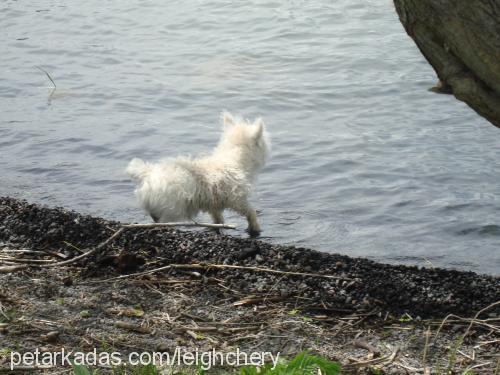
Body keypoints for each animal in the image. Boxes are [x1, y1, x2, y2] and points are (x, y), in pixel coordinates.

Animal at [127, 111, 272, 235]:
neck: (235, 159)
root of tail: (147, 174)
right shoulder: (237, 199)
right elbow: (250, 212)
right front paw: (255, 227)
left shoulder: (214, 204)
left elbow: (218, 218)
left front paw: (219, 226)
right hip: (169, 209)